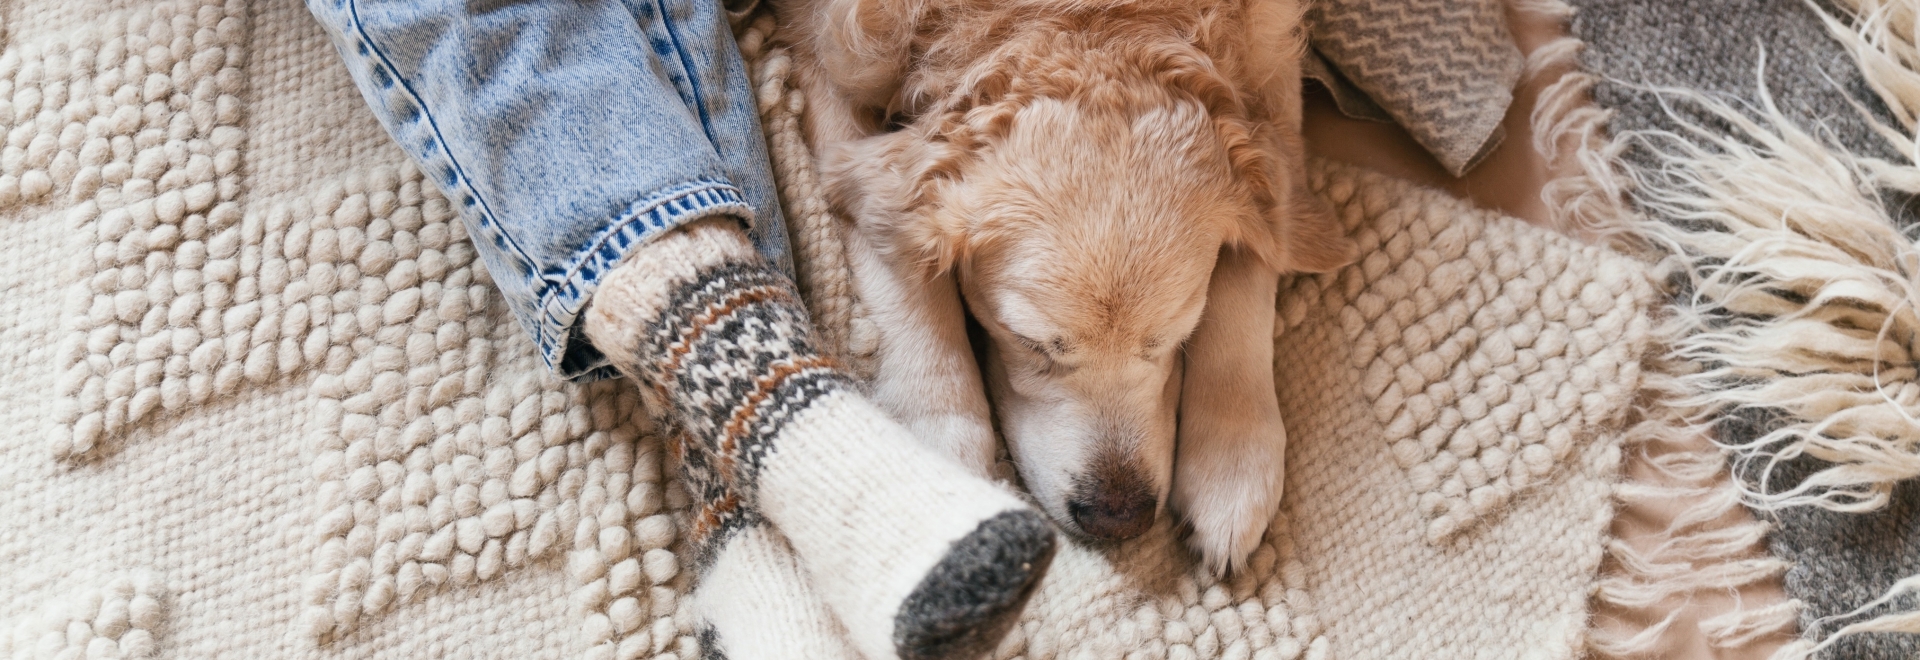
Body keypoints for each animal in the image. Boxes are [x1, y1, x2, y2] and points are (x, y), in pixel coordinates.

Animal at [771, 0, 1359, 571]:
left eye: (1173, 339)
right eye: (1030, 343)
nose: (1118, 519)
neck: (1092, 23)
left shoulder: (1271, 63)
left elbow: (1259, 256)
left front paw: (1232, 464)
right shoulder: (825, 57)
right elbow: (902, 271)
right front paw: (936, 456)